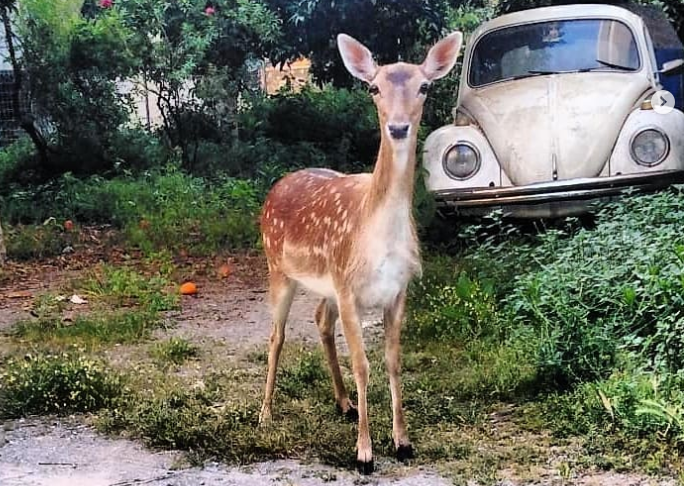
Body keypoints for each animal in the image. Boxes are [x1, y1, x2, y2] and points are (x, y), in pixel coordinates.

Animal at [258, 30, 464, 474]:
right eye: (374, 87)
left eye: (424, 86)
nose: (398, 127)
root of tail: (277, 185)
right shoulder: (349, 288)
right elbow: (362, 365)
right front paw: (365, 454)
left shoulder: (399, 289)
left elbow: (393, 361)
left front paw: (402, 442)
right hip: (278, 266)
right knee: (277, 336)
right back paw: (264, 414)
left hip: (326, 284)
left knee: (320, 321)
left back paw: (344, 403)